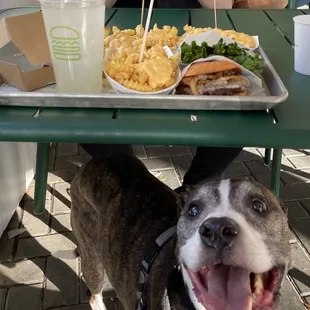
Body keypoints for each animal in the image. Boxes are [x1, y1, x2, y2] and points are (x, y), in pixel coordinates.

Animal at [70, 153, 290, 310]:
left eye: (259, 205)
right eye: (193, 210)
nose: (217, 229)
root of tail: (92, 163)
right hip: (93, 261)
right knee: (94, 294)